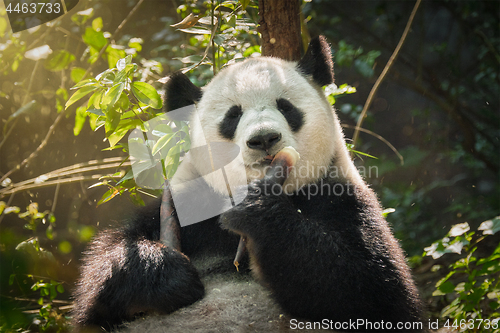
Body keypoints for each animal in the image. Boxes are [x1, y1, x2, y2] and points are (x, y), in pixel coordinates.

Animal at [72, 35, 426, 330]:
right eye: (232, 116)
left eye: (286, 106)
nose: (264, 139)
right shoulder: (191, 205)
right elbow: (105, 274)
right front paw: (165, 273)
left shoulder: (340, 195)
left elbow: (375, 291)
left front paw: (257, 209)